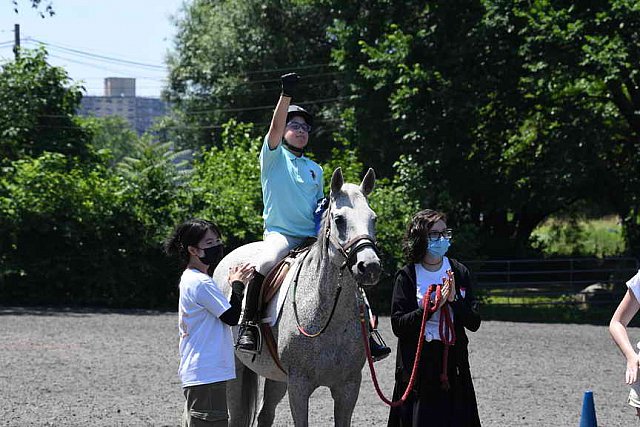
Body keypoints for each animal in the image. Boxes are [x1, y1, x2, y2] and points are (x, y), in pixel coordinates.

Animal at [212, 168, 382, 427]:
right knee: (238, 417)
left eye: (373, 219)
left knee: (265, 415)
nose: (370, 266)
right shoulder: (299, 386)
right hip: (237, 370)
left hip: (276, 377)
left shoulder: (348, 387)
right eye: (339, 220)